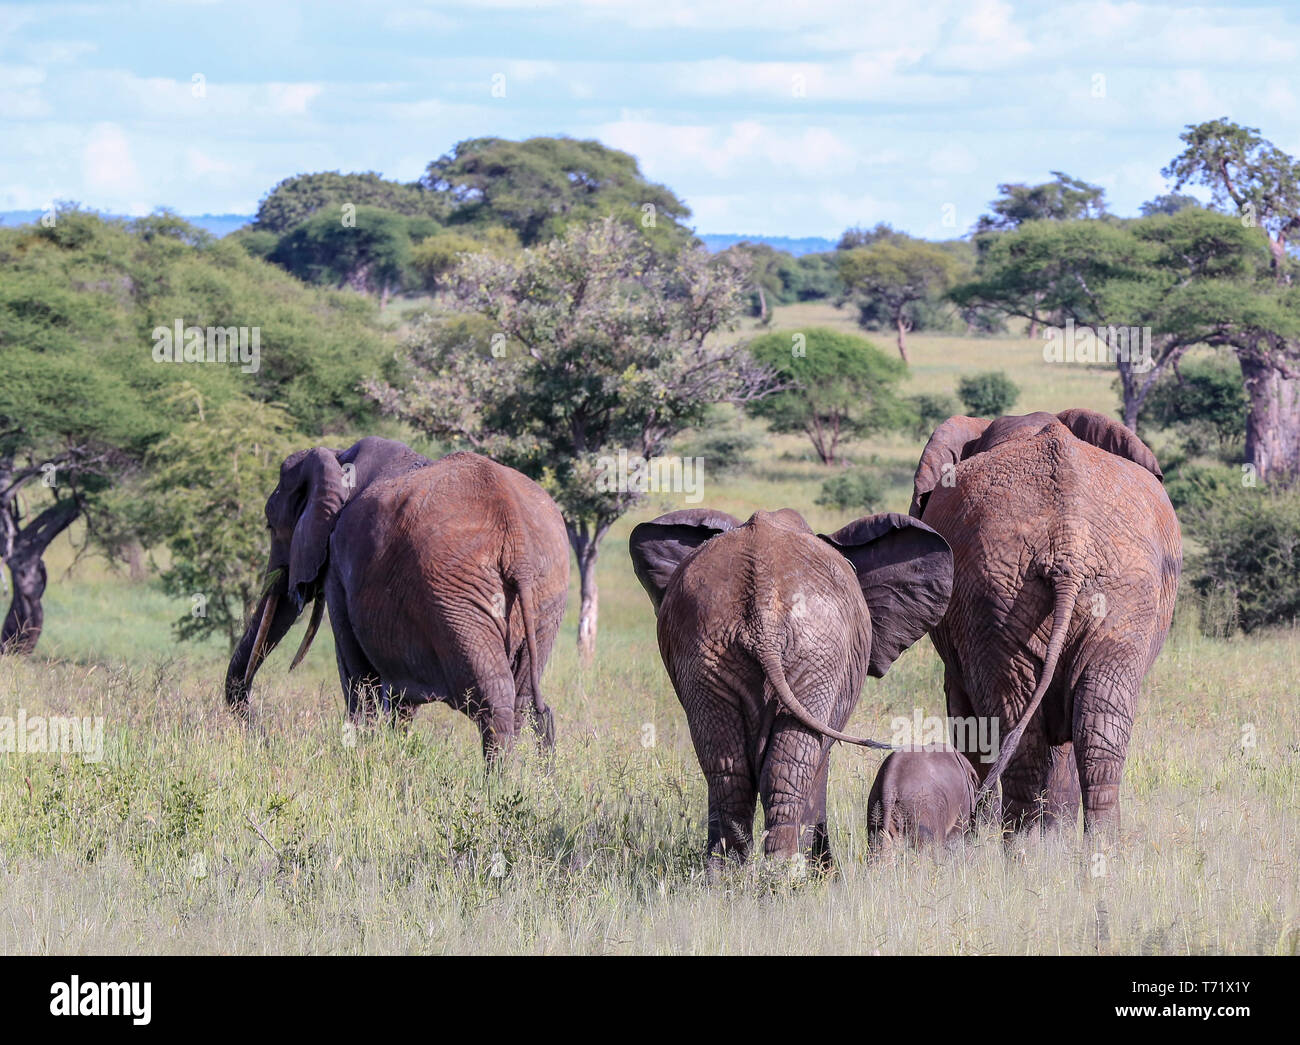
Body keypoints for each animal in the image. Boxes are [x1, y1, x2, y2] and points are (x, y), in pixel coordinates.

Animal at [227, 436, 569, 764]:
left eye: (270, 525)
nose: (263, 738)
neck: (338, 457)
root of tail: (516, 536)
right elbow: (399, 702)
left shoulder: (338, 567)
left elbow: (357, 676)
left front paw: (360, 758)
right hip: (545, 594)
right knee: (522, 700)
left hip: (457, 598)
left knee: (492, 701)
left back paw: (498, 784)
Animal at [624, 506, 951, 873]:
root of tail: (761, 614)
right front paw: (825, 874)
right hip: (815, 656)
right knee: (790, 765)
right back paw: (785, 874)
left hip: (708, 650)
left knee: (728, 770)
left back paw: (726, 877)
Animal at [909, 408, 1185, 831]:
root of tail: (1066, 545)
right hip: (1064, 598)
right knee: (1089, 731)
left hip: (1025, 598)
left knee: (1034, 733)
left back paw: (1023, 845)